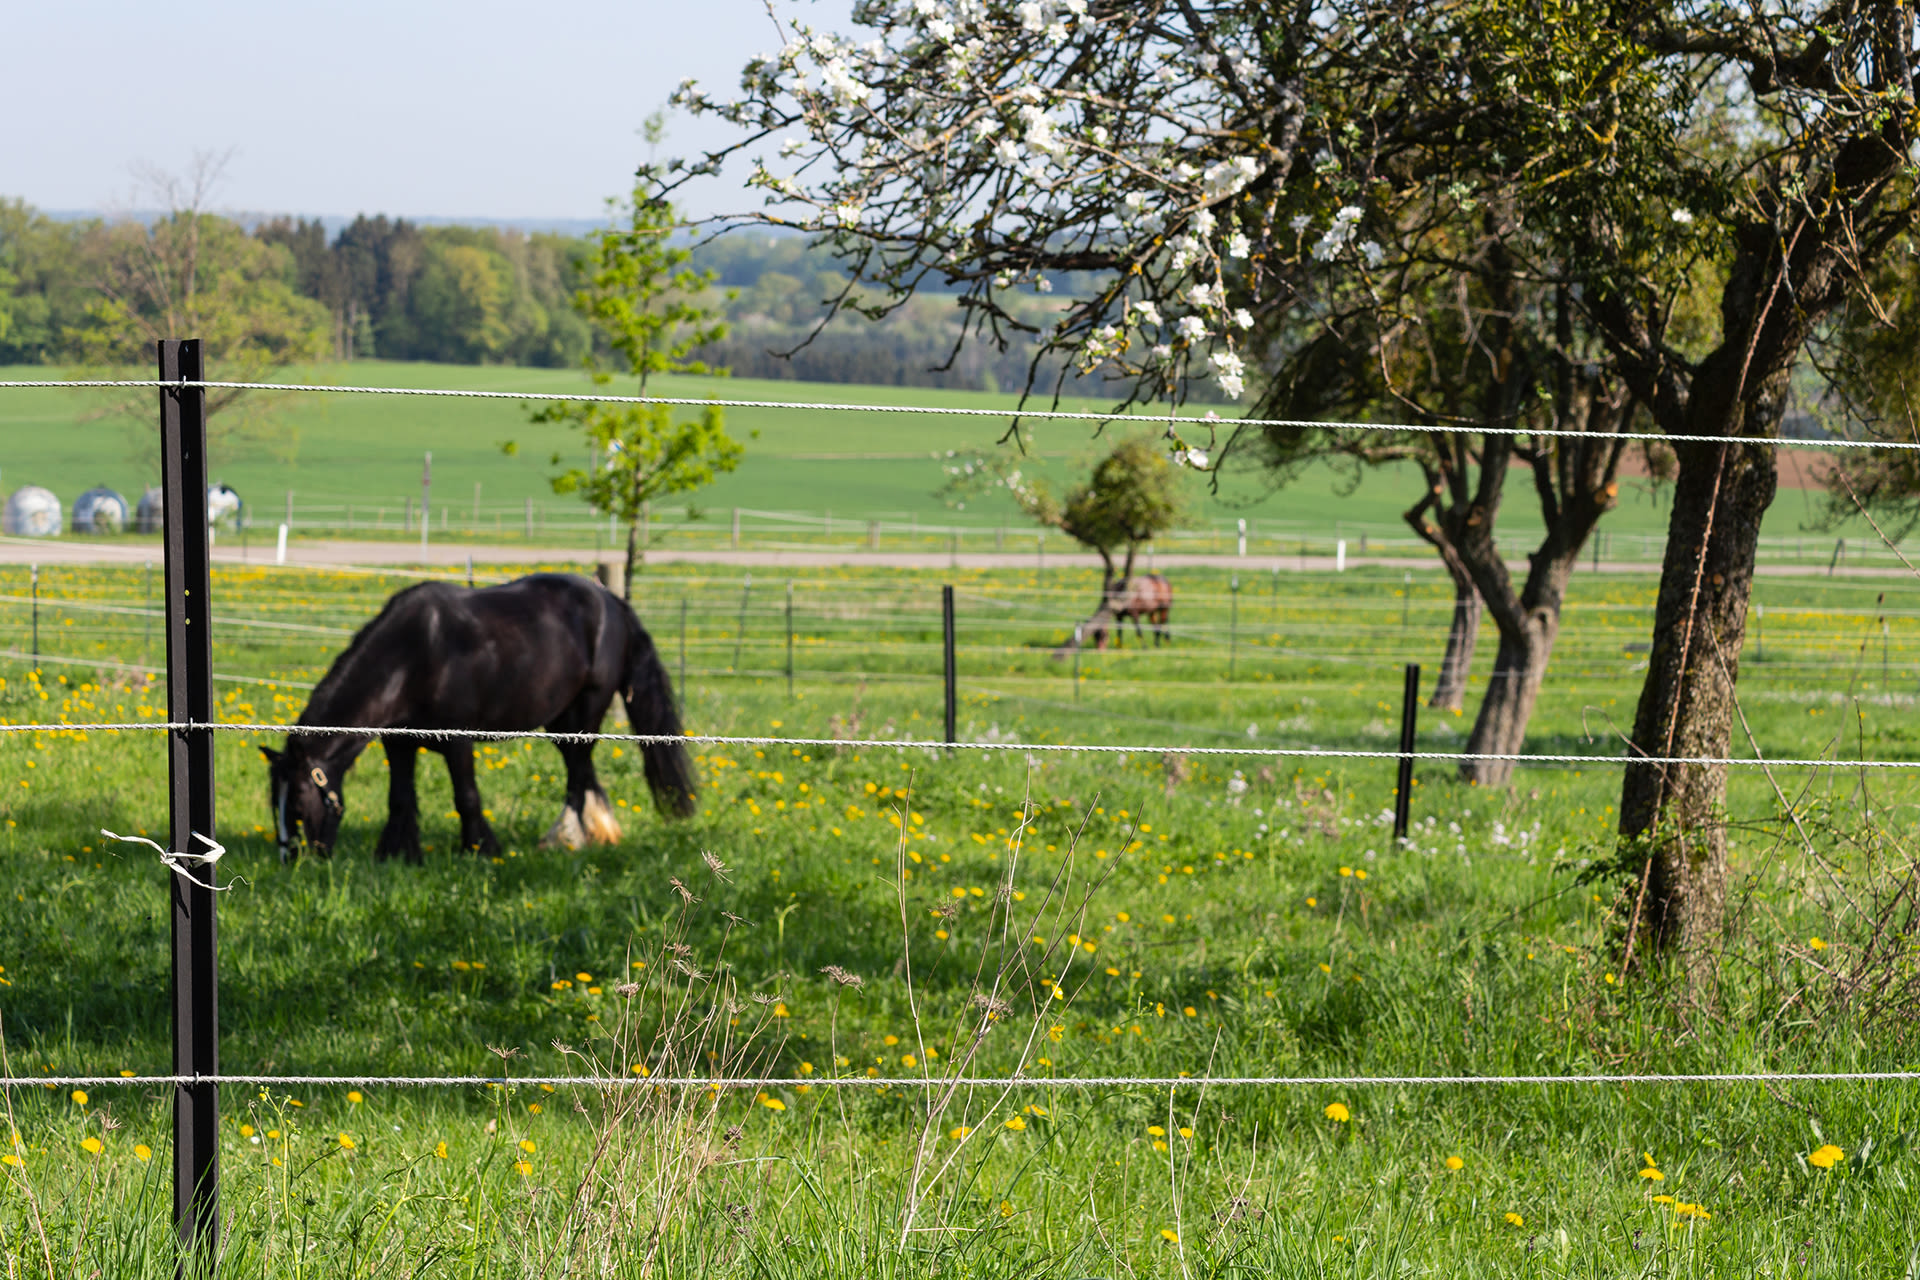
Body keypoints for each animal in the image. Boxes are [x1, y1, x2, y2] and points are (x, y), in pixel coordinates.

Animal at [261, 575, 698, 867]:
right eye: (272, 803)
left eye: (296, 802)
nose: (291, 860)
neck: (413, 655)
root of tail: (610, 600)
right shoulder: (398, 743)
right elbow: (400, 798)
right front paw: (399, 853)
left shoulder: (458, 742)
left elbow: (466, 797)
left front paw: (480, 849)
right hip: (560, 720)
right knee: (583, 771)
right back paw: (597, 832)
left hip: (584, 712)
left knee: (577, 775)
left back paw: (566, 838)